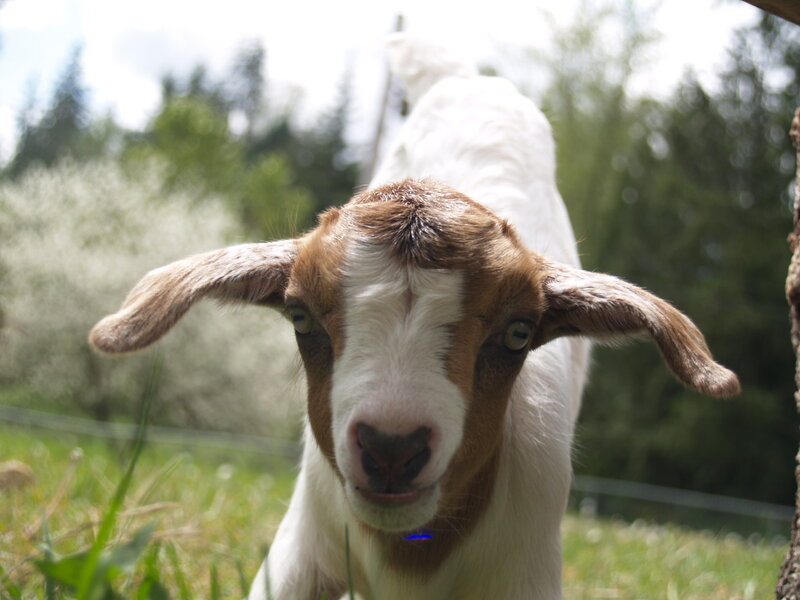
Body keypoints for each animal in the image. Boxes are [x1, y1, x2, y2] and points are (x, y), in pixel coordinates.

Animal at [89, 34, 739, 600]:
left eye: (519, 332)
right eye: (300, 317)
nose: (391, 448)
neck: (410, 558)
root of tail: (466, 78)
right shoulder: (301, 551)